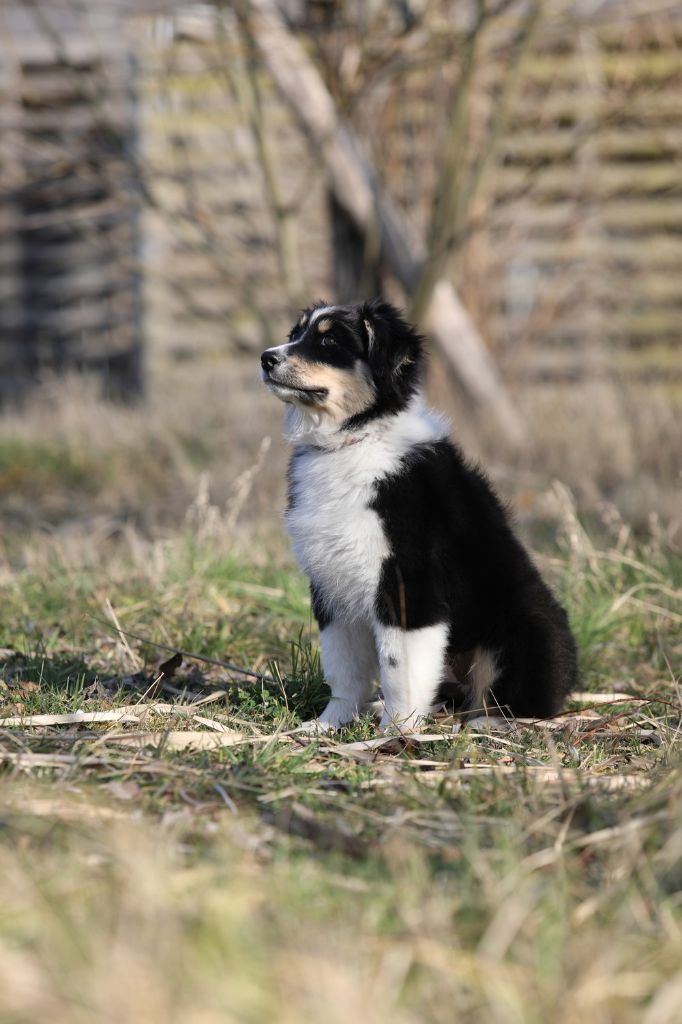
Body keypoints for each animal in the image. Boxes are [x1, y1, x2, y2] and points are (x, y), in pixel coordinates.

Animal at [261, 298, 578, 730]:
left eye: (328, 341)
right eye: (295, 334)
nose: (266, 358)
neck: (355, 438)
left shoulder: (408, 581)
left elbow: (399, 667)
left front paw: (395, 731)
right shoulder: (331, 584)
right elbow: (343, 667)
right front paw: (329, 724)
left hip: (523, 629)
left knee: (513, 698)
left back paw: (484, 724)